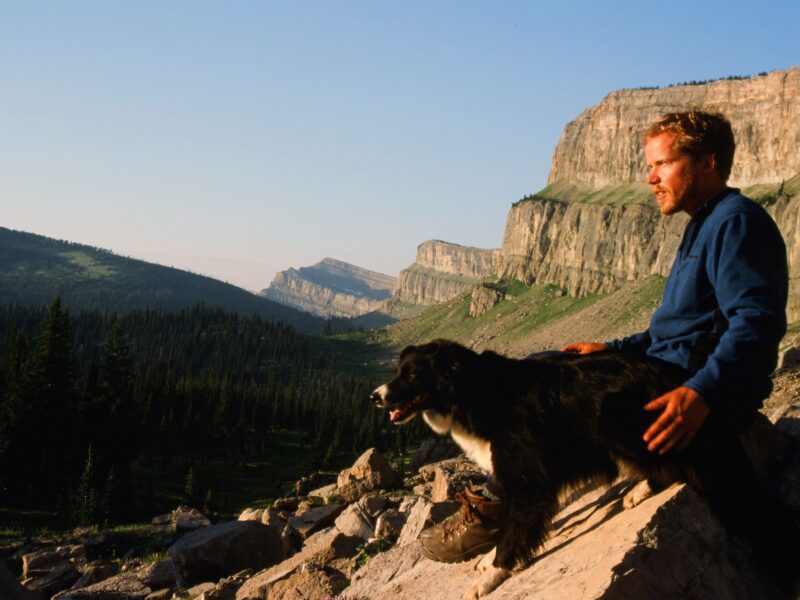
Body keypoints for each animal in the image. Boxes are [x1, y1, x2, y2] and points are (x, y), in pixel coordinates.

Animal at [370, 340, 792, 596]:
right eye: (397, 370)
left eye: (411, 374)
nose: (375, 396)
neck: (473, 393)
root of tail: (682, 380)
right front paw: (488, 562)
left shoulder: (528, 478)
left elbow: (514, 531)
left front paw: (492, 576)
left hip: (621, 418)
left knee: (679, 467)